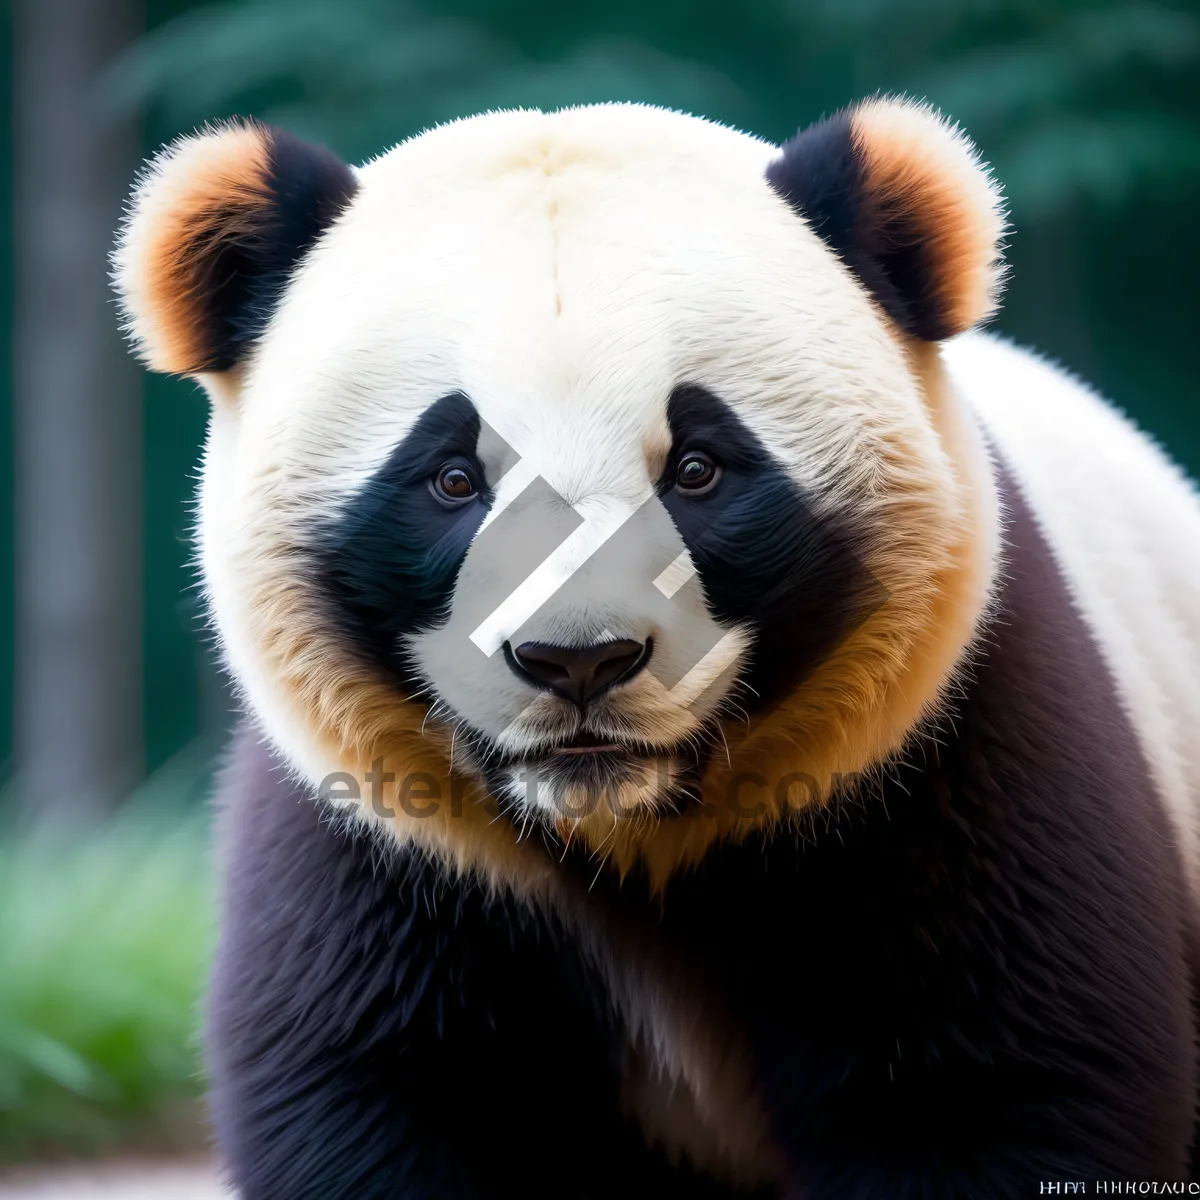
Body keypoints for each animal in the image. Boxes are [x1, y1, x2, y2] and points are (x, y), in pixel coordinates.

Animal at [112, 98, 1200, 1195]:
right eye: (453, 478)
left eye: (698, 467)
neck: (625, 831)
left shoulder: (938, 758)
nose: (578, 661)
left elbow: (988, 1086)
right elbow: (386, 1085)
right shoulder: (382, 846)